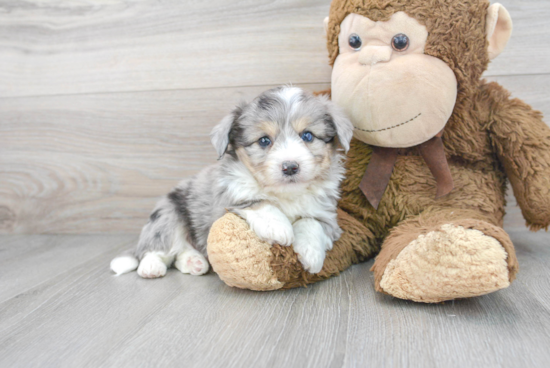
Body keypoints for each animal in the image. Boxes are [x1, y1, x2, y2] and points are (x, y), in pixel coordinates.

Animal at [110, 86, 356, 278]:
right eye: (264, 140)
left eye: (307, 136)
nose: (290, 167)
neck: (284, 193)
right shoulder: (227, 199)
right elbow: (256, 201)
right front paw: (278, 227)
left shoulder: (328, 217)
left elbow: (311, 223)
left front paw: (311, 255)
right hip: (167, 215)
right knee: (157, 248)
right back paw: (151, 267)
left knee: (180, 253)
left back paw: (194, 262)